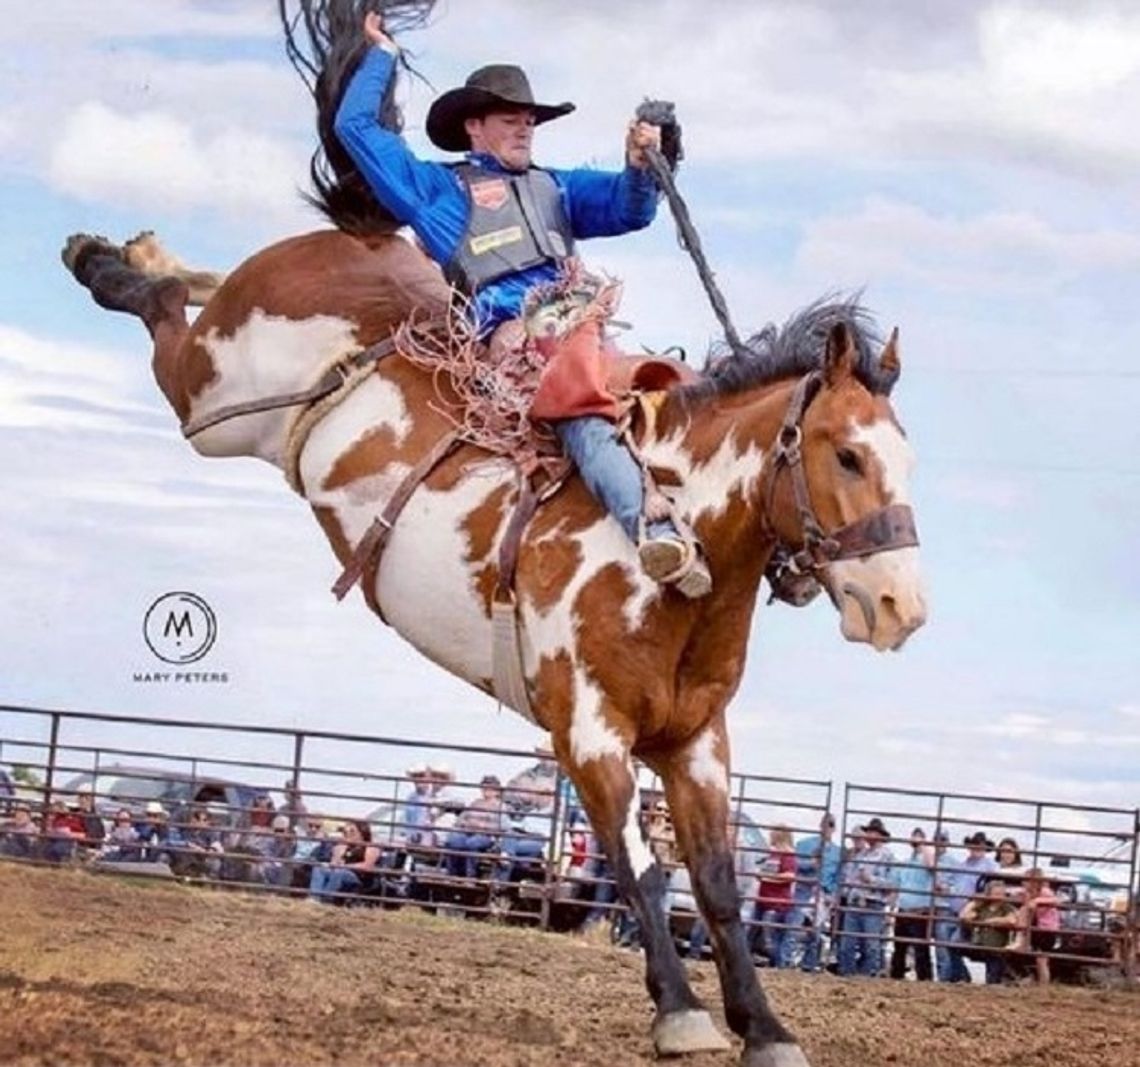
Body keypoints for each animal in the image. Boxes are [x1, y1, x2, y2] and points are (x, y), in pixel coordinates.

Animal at [57, 4, 925, 1062]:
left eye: (906, 457)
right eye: (846, 454)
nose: (901, 604)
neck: (674, 562)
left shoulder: (697, 742)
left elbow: (715, 884)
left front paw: (763, 1024)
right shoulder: (589, 732)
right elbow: (642, 874)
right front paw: (681, 1013)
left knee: (191, 284)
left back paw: (142, 251)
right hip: (213, 402)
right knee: (168, 323)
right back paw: (107, 260)